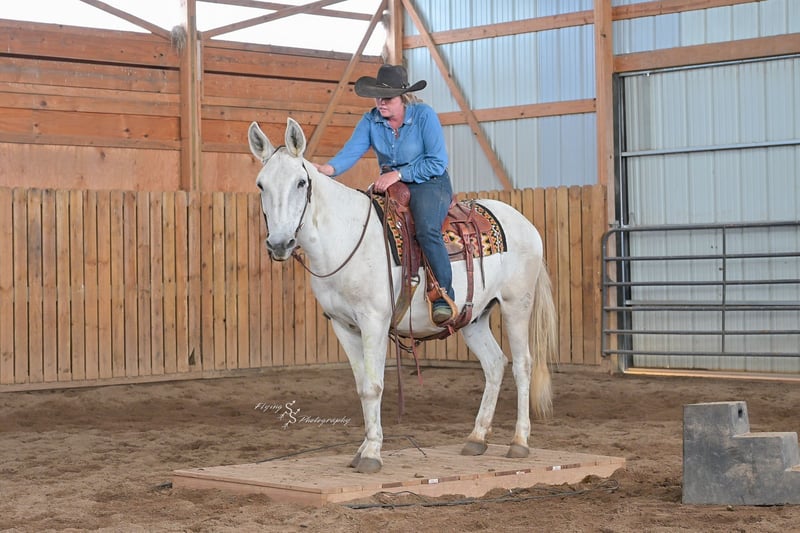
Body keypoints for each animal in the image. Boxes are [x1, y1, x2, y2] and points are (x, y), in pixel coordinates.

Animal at [248, 118, 557, 474]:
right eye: (261, 185)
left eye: (301, 182)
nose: (279, 243)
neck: (345, 237)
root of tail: (525, 224)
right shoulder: (343, 325)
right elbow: (362, 387)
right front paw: (363, 448)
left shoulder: (374, 322)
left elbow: (373, 386)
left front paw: (371, 454)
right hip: (474, 317)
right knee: (494, 364)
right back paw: (476, 437)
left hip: (516, 305)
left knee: (522, 365)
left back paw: (519, 442)